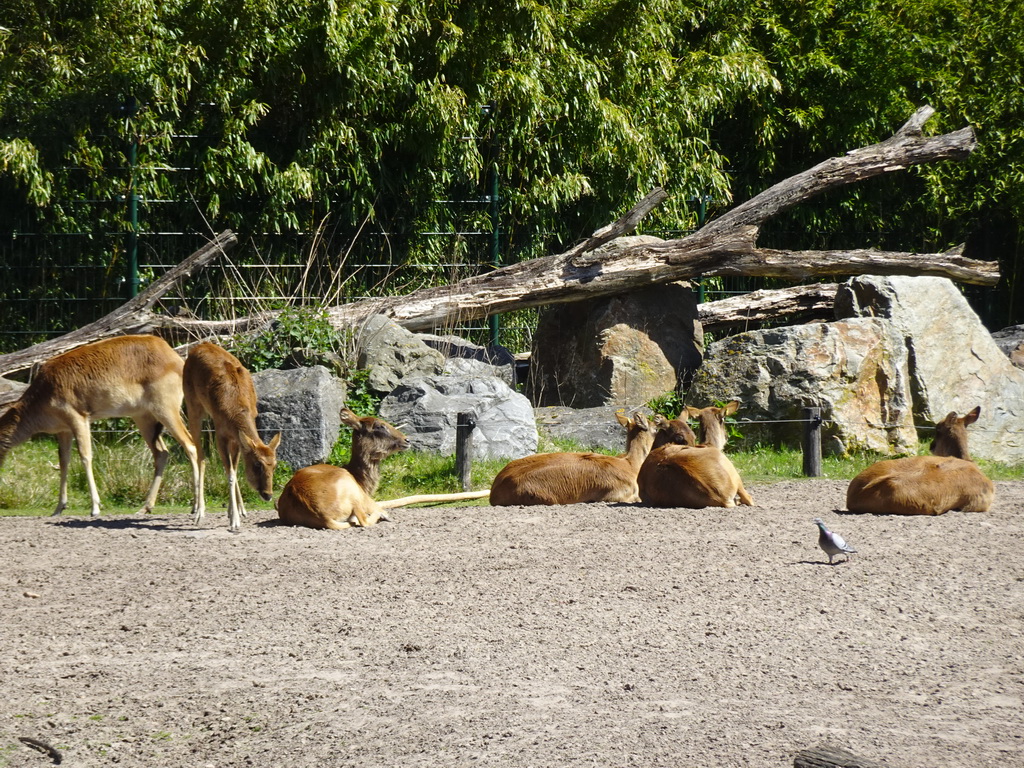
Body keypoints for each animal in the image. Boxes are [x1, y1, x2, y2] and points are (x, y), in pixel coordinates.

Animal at [0, 335, 200, 518]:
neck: (42, 394)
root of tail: (175, 358)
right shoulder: (63, 430)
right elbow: (64, 461)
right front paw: (58, 509)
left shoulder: (78, 418)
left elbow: (85, 457)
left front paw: (95, 508)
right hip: (144, 418)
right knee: (162, 453)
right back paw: (145, 507)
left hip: (166, 410)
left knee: (190, 445)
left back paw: (195, 508)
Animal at [182, 344, 280, 532]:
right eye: (257, 465)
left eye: (275, 465)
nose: (268, 495)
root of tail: (198, 346)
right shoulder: (221, 433)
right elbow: (230, 474)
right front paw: (234, 521)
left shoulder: (237, 439)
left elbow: (234, 469)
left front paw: (237, 511)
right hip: (192, 405)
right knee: (200, 455)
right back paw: (198, 512)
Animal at [280, 409, 411, 528]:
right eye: (380, 426)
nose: (407, 440)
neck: (360, 480)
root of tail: (323, 517)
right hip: (355, 494)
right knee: (365, 519)